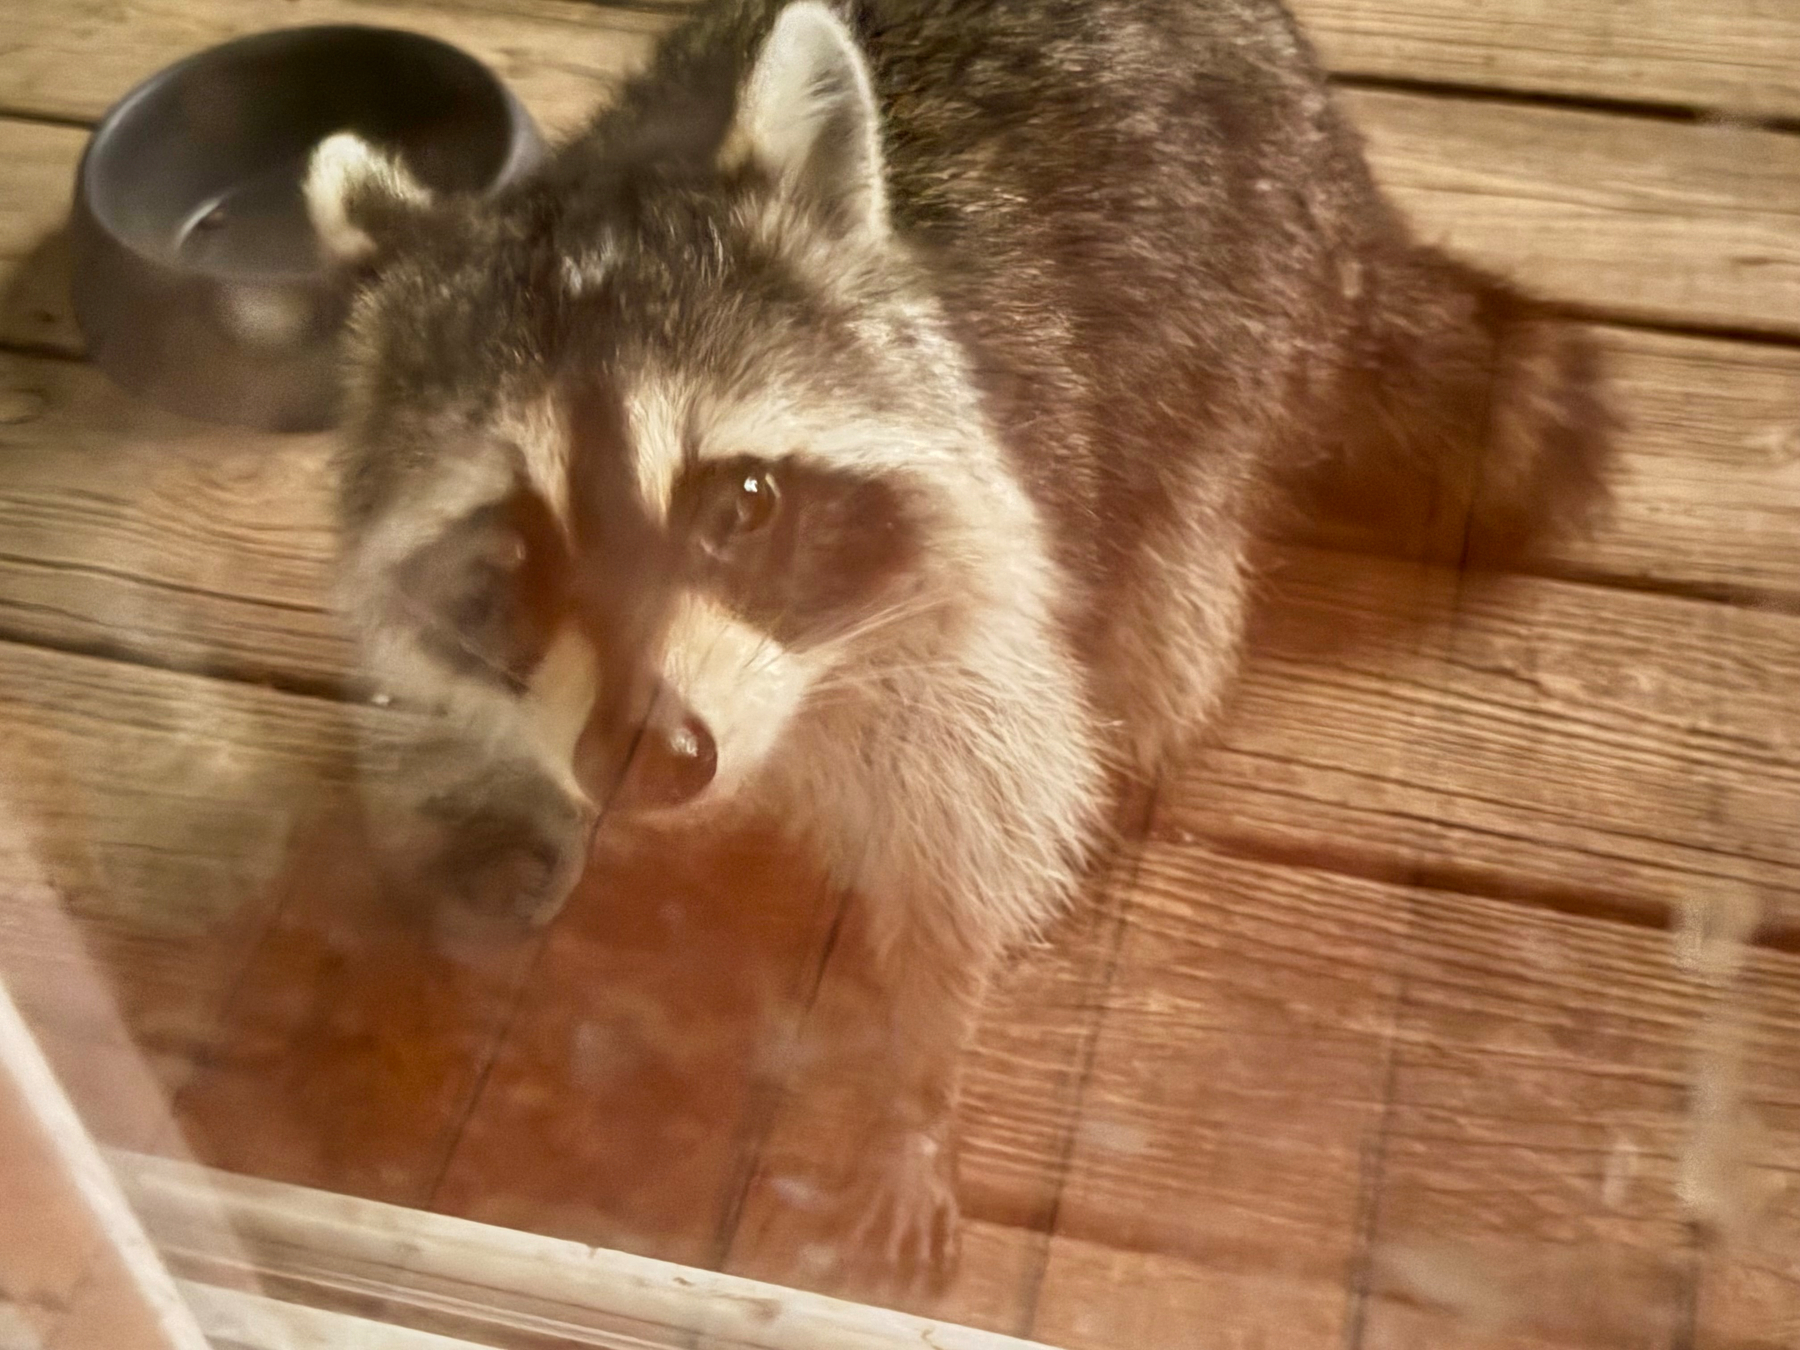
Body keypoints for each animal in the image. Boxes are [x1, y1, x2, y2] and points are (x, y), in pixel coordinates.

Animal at [306, 0, 1610, 1285]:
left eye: (743, 503)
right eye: (512, 550)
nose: (649, 757)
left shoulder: (983, 597)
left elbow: (971, 832)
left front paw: (918, 1086)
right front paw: (528, 849)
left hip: (1231, 325)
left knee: (1166, 605)